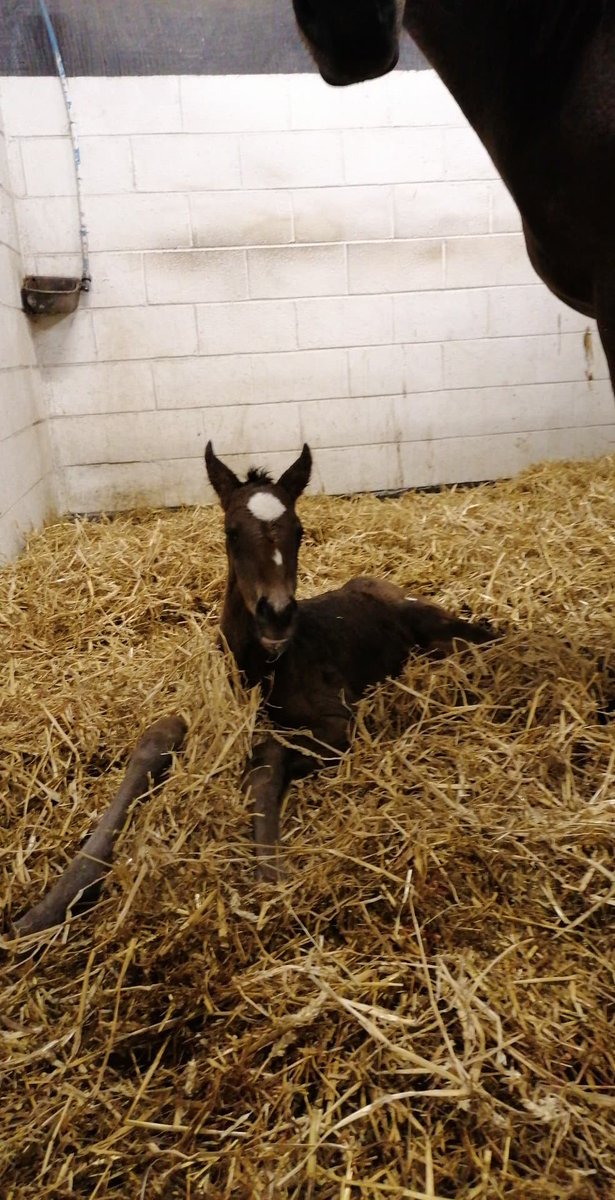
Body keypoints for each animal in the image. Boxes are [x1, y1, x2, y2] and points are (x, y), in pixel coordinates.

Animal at [205, 441, 494, 881]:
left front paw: (269, 865)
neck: (267, 666)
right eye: (231, 532)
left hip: (439, 631)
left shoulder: (341, 720)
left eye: (299, 532)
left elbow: (267, 755)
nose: (277, 615)